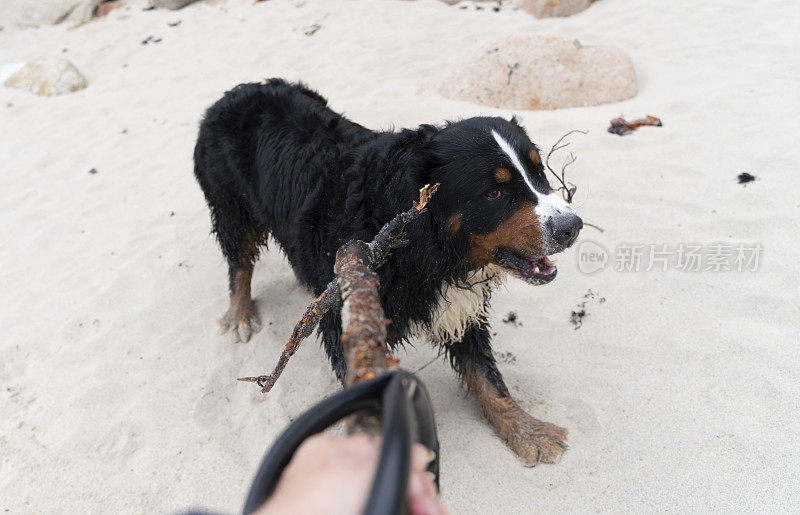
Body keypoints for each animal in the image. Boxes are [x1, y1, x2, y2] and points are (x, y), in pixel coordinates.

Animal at [194, 77, 580, 468]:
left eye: (538, 173)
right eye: (494, 192)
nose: (571, 227)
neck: (422, 242)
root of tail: (237, 91)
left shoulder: (459, 305)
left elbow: (486, 374)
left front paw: (525, 429)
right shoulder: (345, 317)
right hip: (232, 207)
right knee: (239, 264)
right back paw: (240, 315)